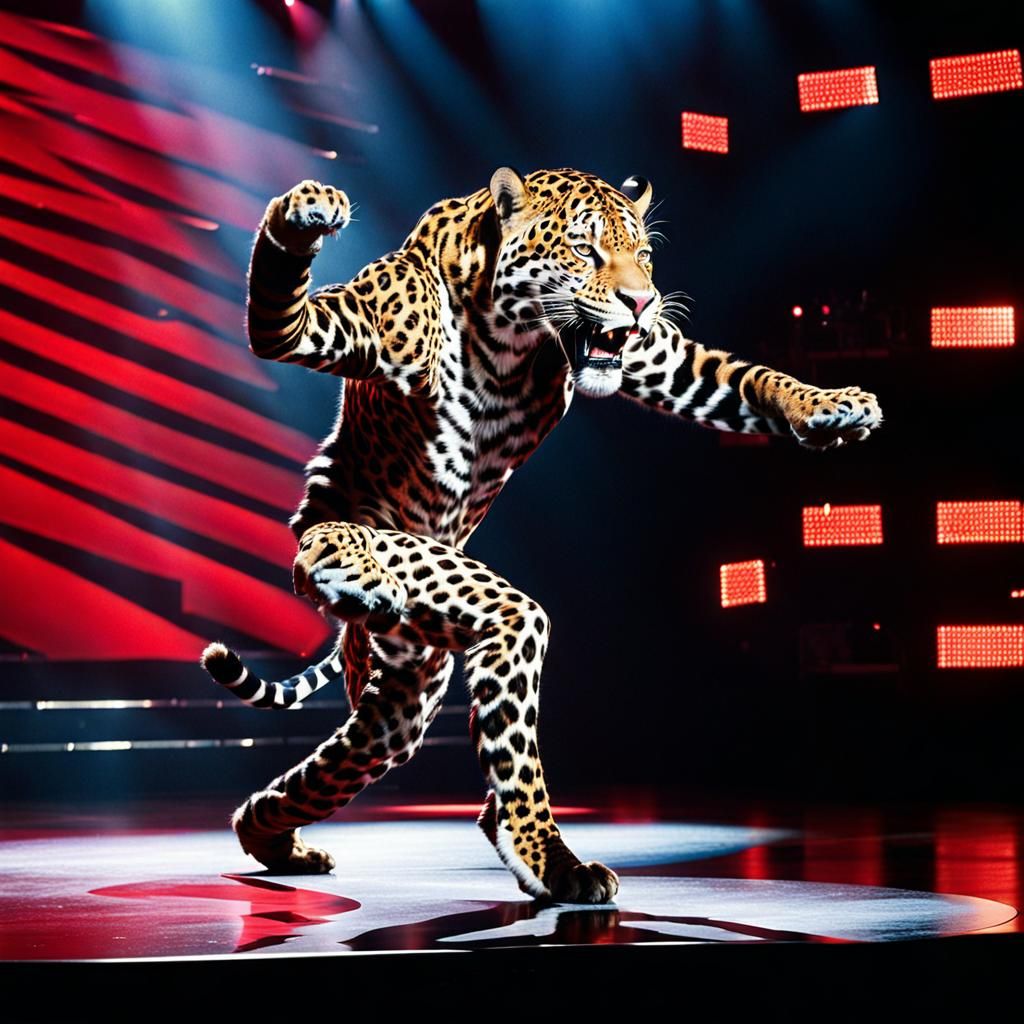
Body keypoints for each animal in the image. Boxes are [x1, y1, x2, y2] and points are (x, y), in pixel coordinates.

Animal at [201, 167, 883, 904]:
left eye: (644, 256)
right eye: (585, 251)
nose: (641, 301)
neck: (509, 330)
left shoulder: (657, 356)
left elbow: (731, 377)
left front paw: (829, 405)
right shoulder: (359, 323)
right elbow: (286, 323)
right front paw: (306, 212)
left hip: (409, 679)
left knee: (364, 746)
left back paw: (273, 838)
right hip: (402, 573)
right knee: (351, 571)